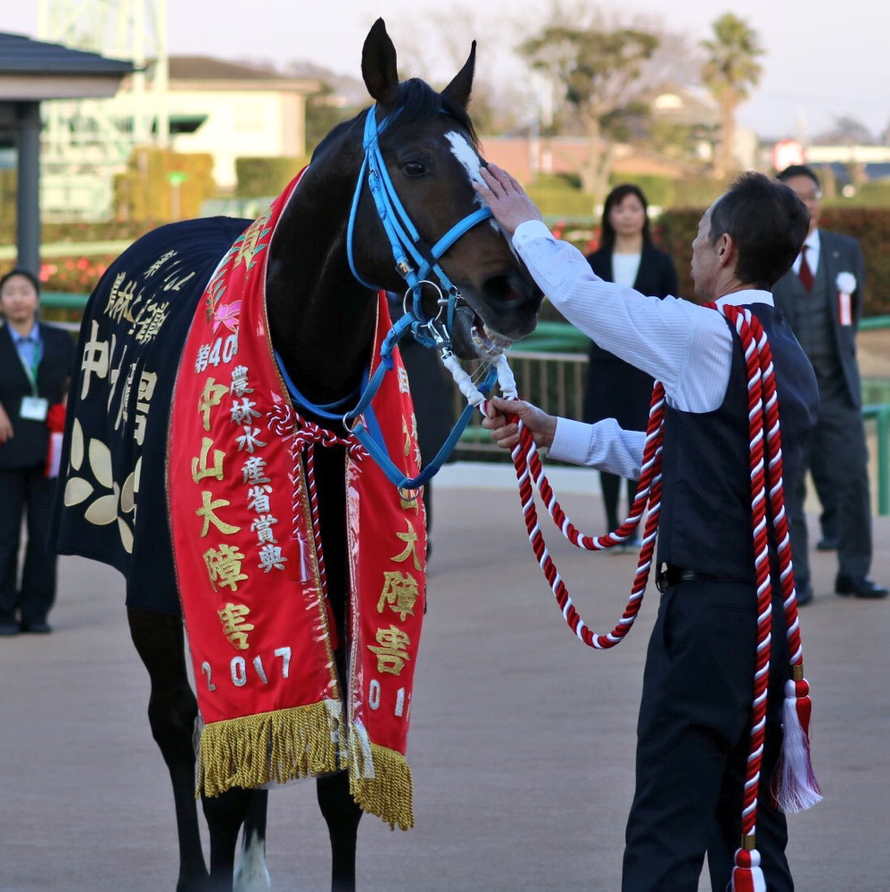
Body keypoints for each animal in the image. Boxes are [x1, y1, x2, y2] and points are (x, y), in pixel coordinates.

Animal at [55, 15, 544, 892]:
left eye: (483, 162)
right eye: (415, 164)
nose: (514, 292)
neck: (302, 386)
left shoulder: (347, 589)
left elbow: (334, 781)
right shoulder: (195, 583)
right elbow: (217, 766)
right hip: (150, 586)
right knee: (174, 723)